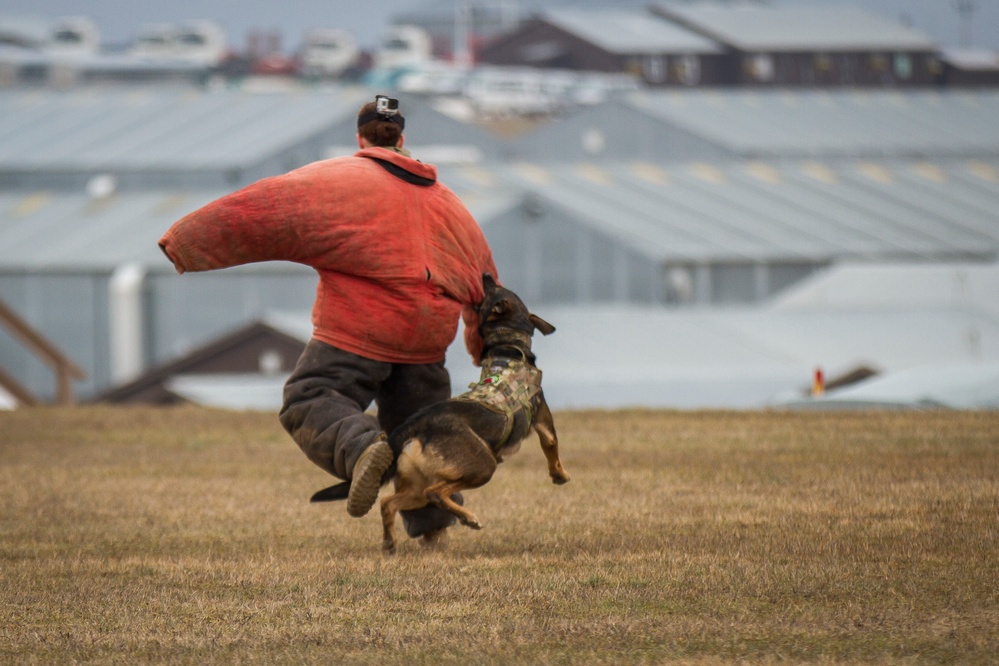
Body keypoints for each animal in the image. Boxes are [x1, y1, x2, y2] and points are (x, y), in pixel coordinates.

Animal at [308, 272, 576, 552]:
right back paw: (468, 518)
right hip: (482, 466)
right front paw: (560, 476)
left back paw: (390, 543)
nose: (485, 275)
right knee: (435, 493)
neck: (509, 345)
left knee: (388, 503)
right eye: (493, 288)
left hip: (416, 487)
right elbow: (552, 447)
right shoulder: (544, 423)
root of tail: (414, 425)